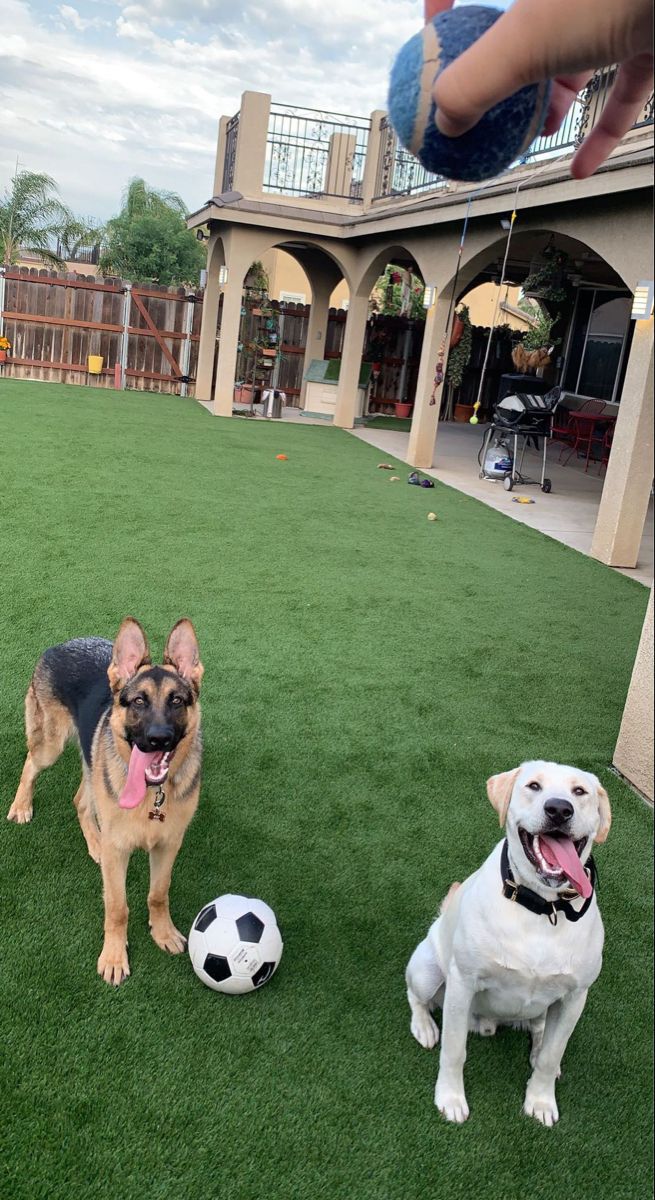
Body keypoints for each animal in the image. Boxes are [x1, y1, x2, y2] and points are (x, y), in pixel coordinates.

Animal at [7, 619, 201, 984]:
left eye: (177, 700)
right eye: (138, 701)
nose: (159, 739)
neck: (151, 797)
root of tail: (61, 644)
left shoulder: (168, 845)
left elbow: (158, 893)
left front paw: (162, 932)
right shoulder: (118, 853)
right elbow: (117, 907)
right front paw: (113, 956)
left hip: (91, 764)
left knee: (81, 801)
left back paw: (94, 841)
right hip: (50, 747)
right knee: (30, 764)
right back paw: (22, 805)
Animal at [405, 758, 609, 1123]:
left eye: (579, 791)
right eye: (533, 786)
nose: (559, 809)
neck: (542, 908)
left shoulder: (575, 998)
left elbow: (552, 1056)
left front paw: (541, 1100)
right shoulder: (462, 983)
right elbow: (454, 1050)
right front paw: (450, 1097)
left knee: (541, 1029)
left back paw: (538, 1044)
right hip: (427, 971)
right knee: (417, 996)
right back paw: (425, 1026)